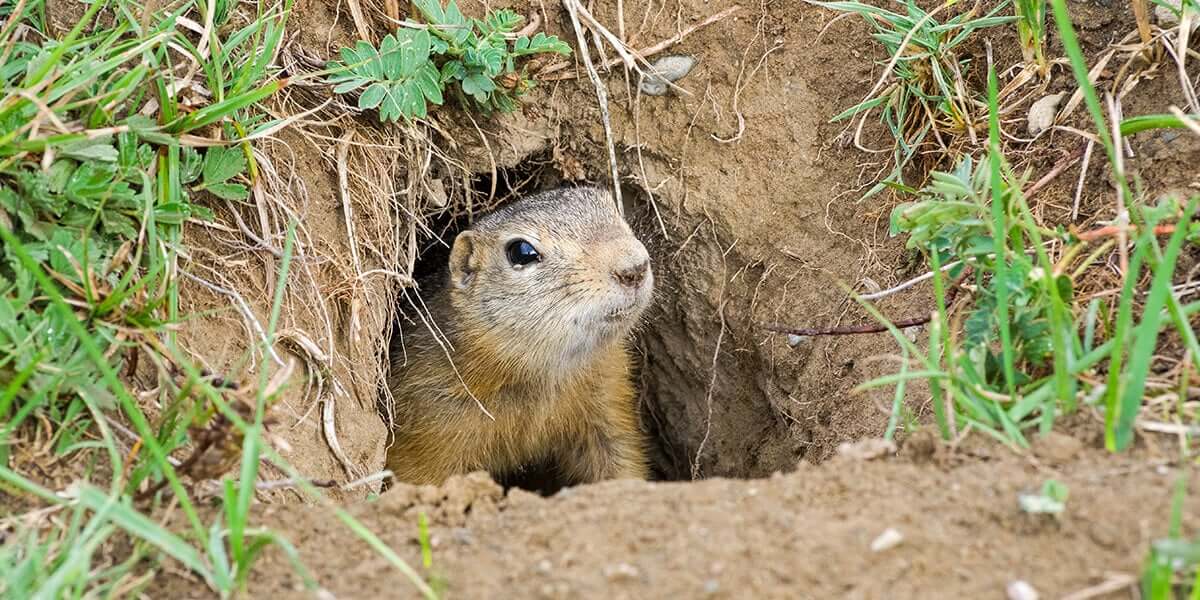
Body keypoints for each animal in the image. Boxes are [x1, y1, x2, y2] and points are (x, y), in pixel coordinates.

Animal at [384, 186, 654, 491]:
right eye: (522, 252)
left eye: (613, 207)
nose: (634, 267)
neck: (543, 375)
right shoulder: (427, 431)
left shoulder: (608, 399)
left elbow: (620, 456)